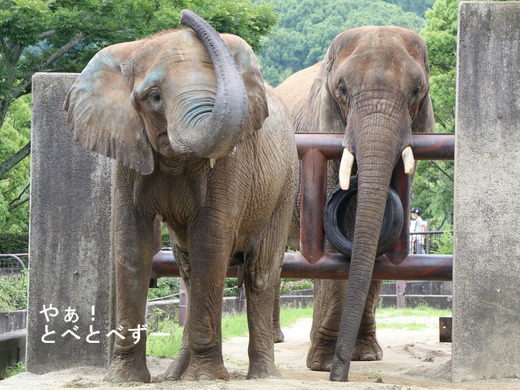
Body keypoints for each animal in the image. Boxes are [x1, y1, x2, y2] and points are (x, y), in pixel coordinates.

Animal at [65, 10, 298, 382]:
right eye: (154, 97)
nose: (185, 16)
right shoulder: (128, 149)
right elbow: (131, 242)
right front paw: (124, 379)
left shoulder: (232, 163)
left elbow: (211, 243)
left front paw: (205, 378)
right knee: (188, 269)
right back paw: (175, 374)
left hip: (285, 184)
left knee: (260, 271)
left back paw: (262, 376)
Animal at [276, 25, 434, 380]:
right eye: (343, 90)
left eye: (417, 90)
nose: (339, 375)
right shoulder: (323, 130)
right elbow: (336, 244)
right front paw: (324, 365)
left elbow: (376, 238)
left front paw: (365, 356)